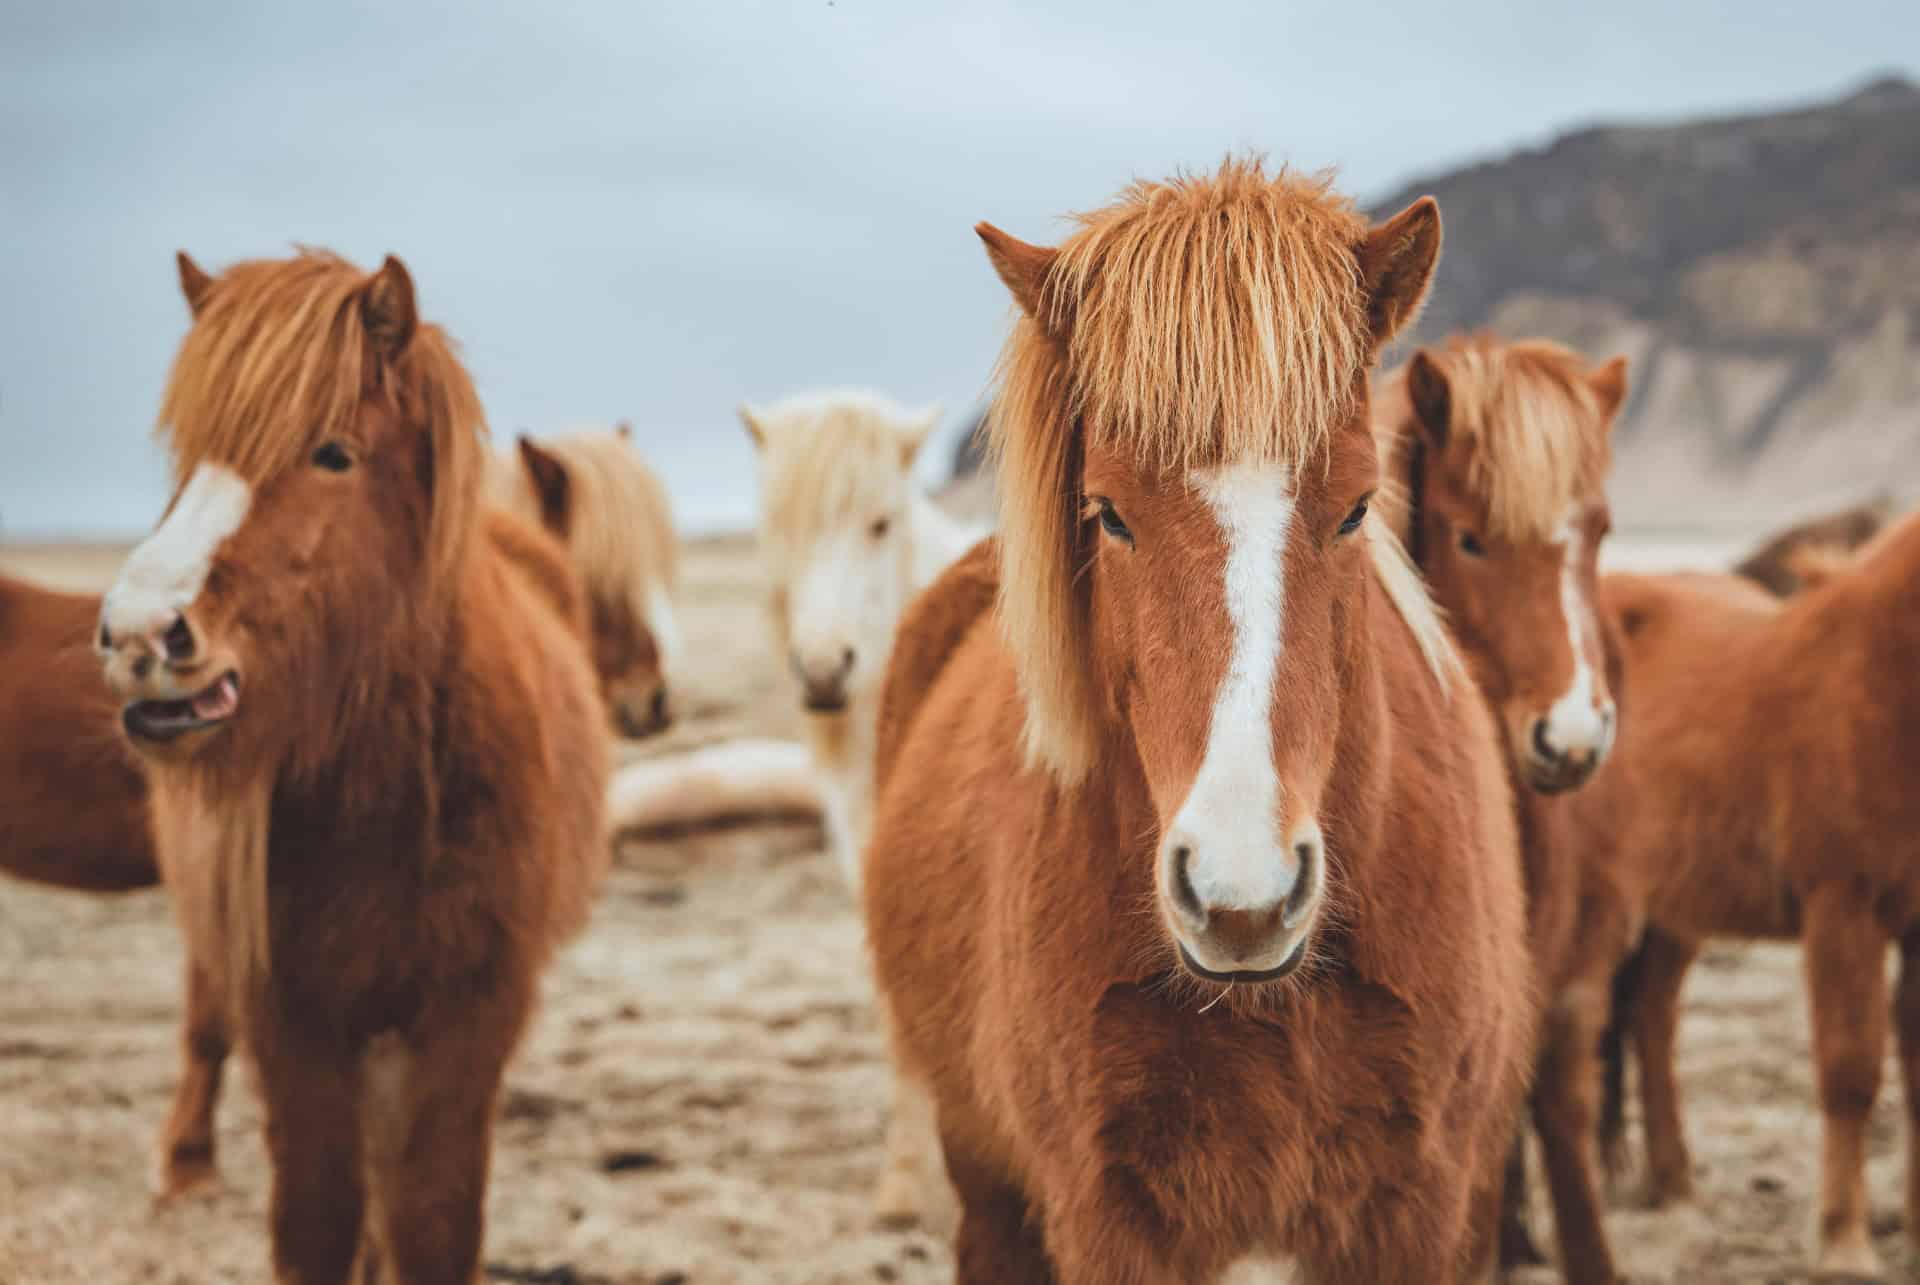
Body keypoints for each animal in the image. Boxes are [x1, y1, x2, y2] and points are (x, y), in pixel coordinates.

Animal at [95, 248, 608, 1282]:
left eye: (332, 453)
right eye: (188, 457)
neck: (395, 801)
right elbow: (322, 1218)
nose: (136, 635)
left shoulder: (466, 1019)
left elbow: (432, 1220)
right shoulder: (294, 1021)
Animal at [864, 160, 1534, 1283]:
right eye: (1106, 512)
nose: (1241, 895)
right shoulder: (1110, 1216)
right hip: (986, 1181)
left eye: (1359, 507)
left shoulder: (1424, 1206)